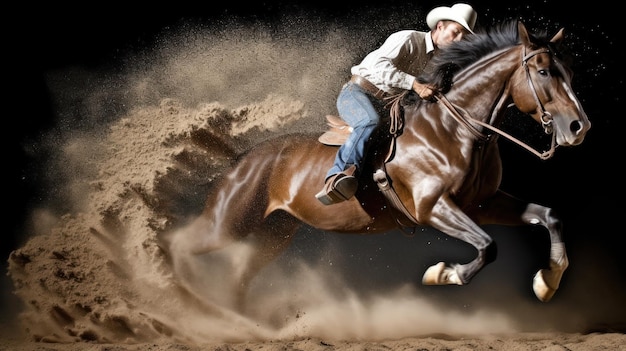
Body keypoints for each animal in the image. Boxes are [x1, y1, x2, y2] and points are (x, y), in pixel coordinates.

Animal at [162, 21, 588, 314]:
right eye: (544, 71)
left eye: (569, 72)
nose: (579, 127)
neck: (452, 128)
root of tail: (243, 159)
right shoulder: (433, 208)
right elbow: (487, 246)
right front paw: (443, 273)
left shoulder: (482, 204)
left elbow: (548, 216)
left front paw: (548, 281)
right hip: (230, 222)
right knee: (181, 243)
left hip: (274, 232)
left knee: (239, 276)